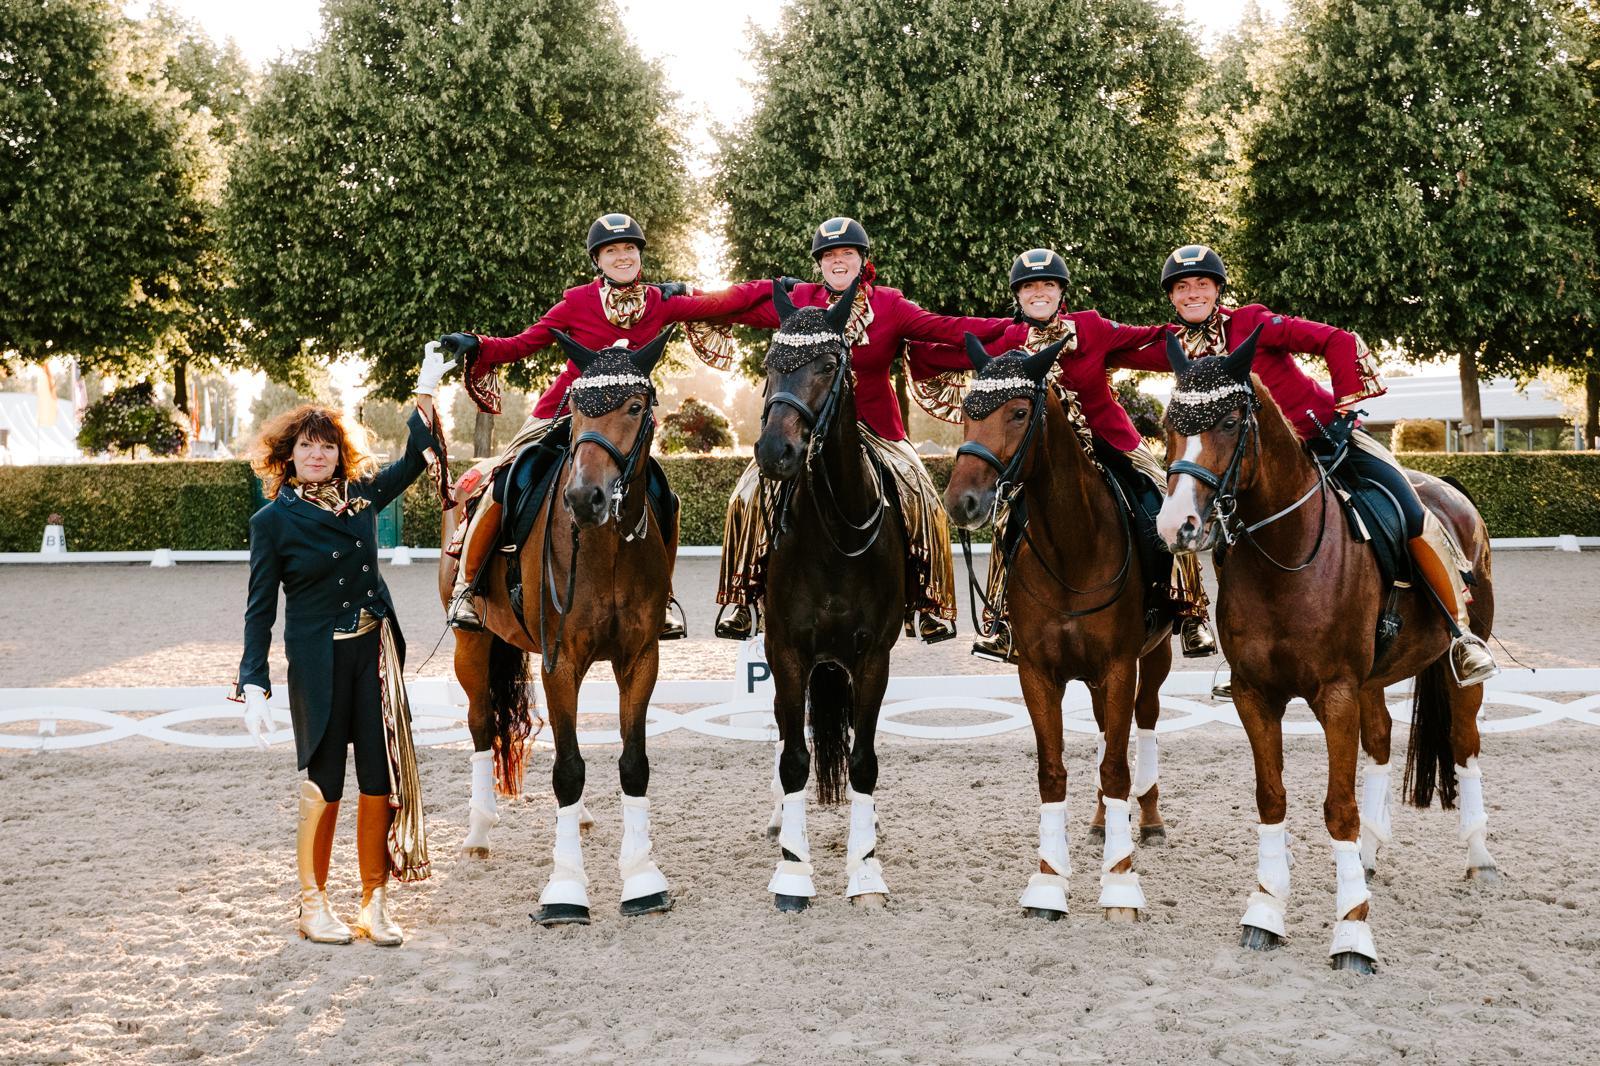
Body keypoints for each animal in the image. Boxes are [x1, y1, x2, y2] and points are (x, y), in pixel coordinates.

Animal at [438, 328, 679, 926]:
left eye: (634, 406)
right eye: (574, 407)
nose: (582, 498)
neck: (605, 546)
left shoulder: (639, 658)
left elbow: (631, 762)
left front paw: (642, 880)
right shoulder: (560, 658)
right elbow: (568, 770)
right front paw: (565, 890)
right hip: (472, 645)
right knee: (481, 725)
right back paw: (479, 833)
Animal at [943, 336, 1174, 922]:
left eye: (1020, 412)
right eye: (966, 411)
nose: (962, 502)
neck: (1073, 545)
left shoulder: (1119, 667)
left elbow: (1116, 768)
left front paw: (1120, 884)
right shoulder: (1039, 673)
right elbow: (1054, 771)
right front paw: (1048, 882)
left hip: (1154, 658)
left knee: (1144, 721)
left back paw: (1149, 817)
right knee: (1106, 732)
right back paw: (1100, 820)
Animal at [1155, 328, 1498, 973]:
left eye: (1232, 420)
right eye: (1167, 422)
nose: (1177, 525)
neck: (1283, 555)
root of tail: (1445, 488)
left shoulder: (1334, 693)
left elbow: (1338, 807)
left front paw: (1352, 935)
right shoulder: (1256, 695)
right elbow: (1271, 798)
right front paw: (1265, 913)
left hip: (1460, 664)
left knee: (1464, 743)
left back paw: (1480, 858)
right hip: (1372, 680)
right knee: (1383, 740)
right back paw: (1367, 859)